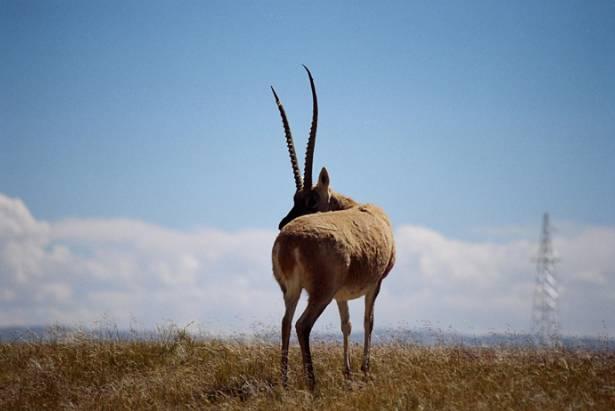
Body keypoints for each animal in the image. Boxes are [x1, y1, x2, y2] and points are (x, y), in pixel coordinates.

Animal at [272, 66, 398, 392]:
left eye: (309, 199)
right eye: (297, 199)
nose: (283, 222)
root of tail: (289, 241)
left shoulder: (342, 294)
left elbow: (347, 324)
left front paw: (349, 372)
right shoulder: (374, 284)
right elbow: (368, 322)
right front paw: (364, 371)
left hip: (291, 291)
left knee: (285, 322)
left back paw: (284, 383)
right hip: (320, 293)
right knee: (302, 325)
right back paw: (312, 384)